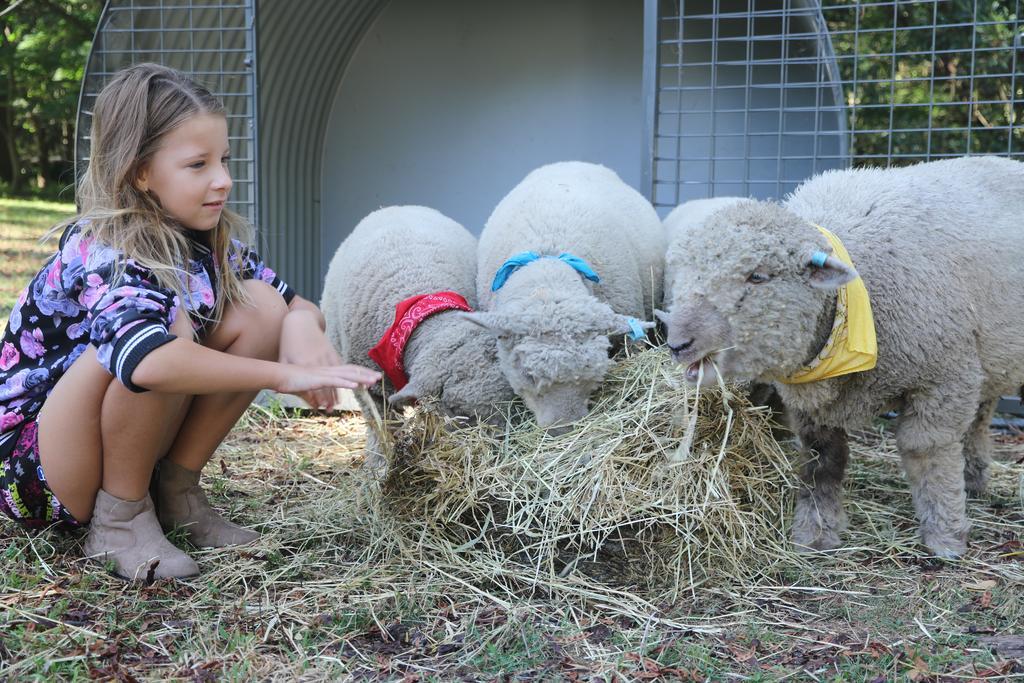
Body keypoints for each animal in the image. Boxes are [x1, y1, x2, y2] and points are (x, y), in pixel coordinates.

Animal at [655, 157, 1024, 557]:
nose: (678, 342)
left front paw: (945, 534)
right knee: (981, 416)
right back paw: (974, 479)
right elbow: (823, 459)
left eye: (758, 276)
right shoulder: (810, 405)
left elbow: (927, 452)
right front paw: (816, 532)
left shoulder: (943, 378)